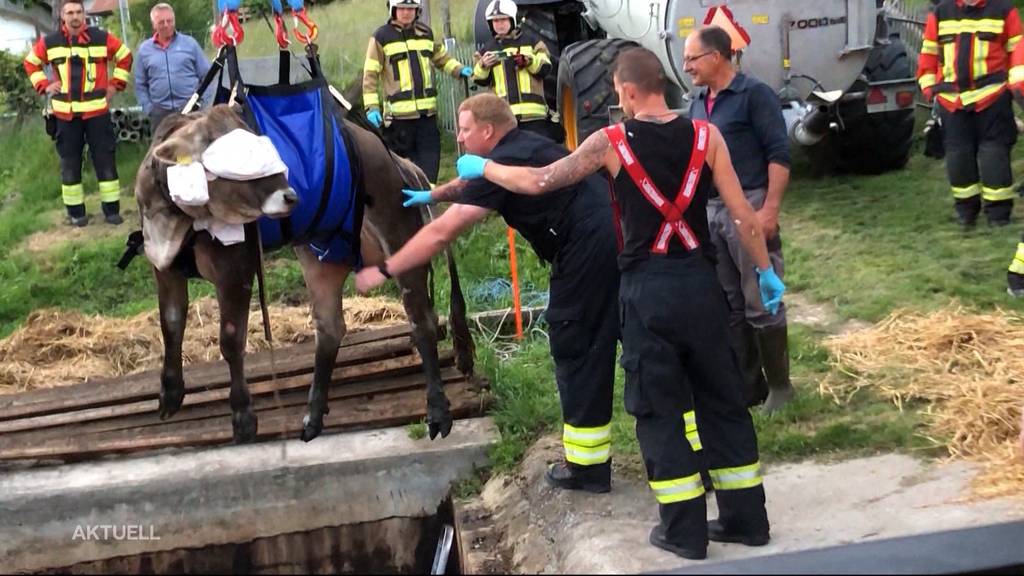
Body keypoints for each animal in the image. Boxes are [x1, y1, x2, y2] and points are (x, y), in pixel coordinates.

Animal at [134, 105, 473, 440]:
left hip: (398, 232)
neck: (177, 217)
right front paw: (170, 394)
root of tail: (398, 160)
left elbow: (230, 340)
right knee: (330, 327)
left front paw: (243, 417)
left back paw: (438, 412)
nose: (291, 195)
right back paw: (313, 415)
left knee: (421, 319)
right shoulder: (163, 266)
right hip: (319, 259)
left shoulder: (235, 269)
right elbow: (171, 323)